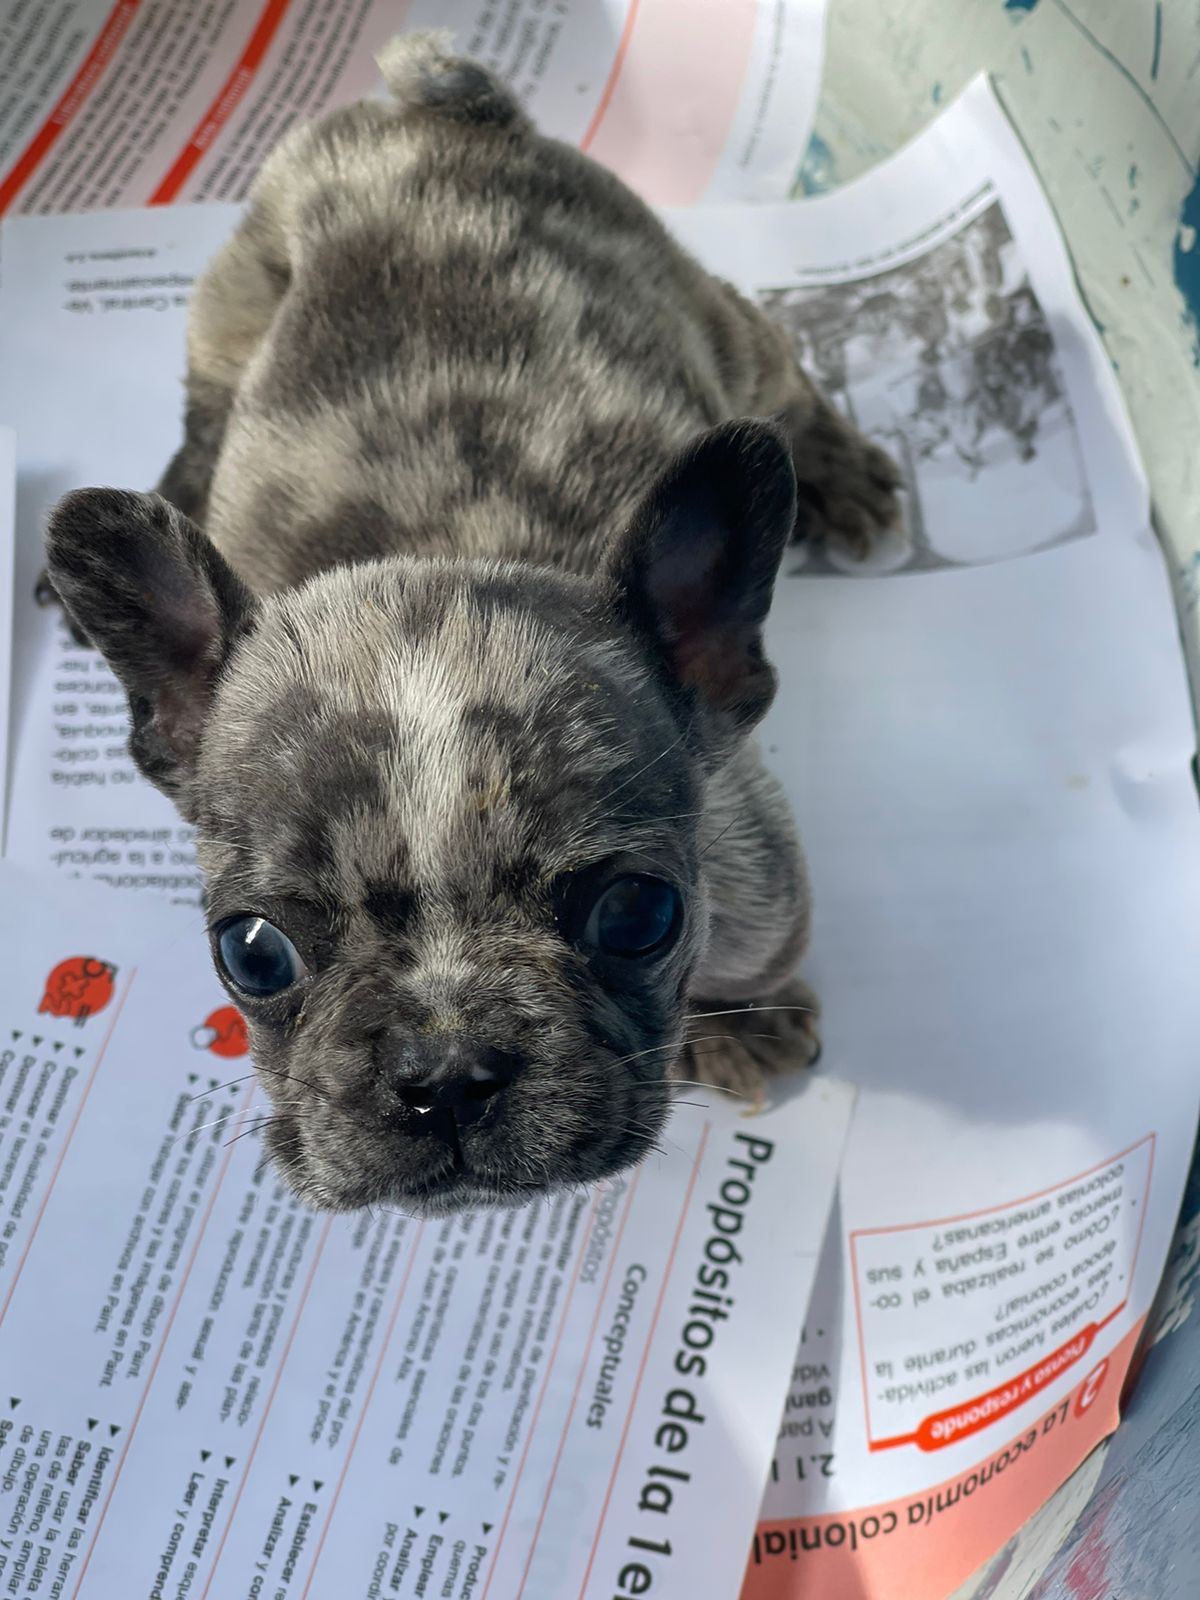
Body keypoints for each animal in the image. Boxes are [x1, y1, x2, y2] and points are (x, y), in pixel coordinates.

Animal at [42, 34, 896, 1209]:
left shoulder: (758, 872)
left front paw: (739, 1019)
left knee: (776, 370)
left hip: (707, 316)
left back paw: (836, 472)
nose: (444, 1072)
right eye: (250, 952)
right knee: (205, 407)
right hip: (234, 302)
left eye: (641, 914)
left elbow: (759, 951)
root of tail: (442, 113)